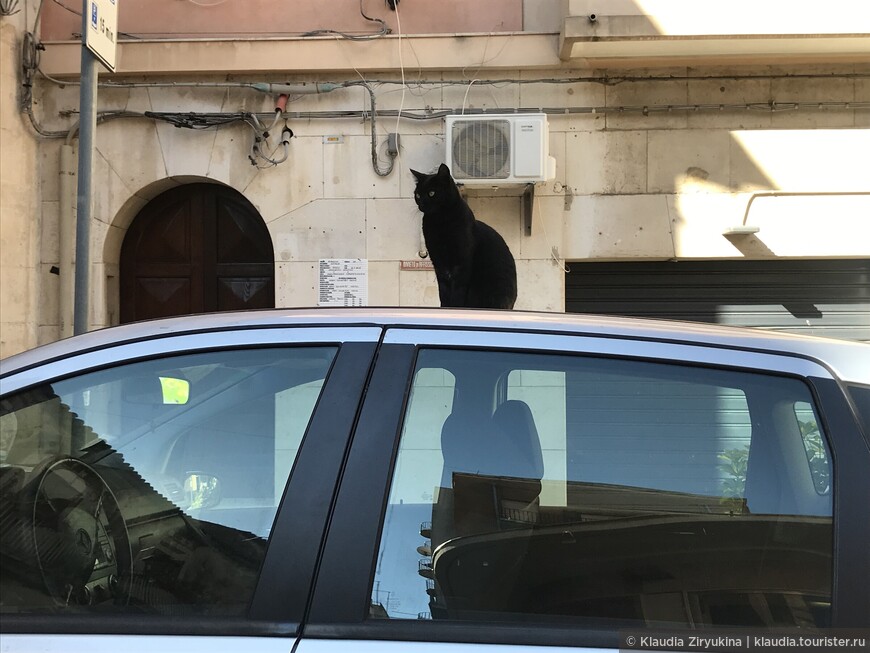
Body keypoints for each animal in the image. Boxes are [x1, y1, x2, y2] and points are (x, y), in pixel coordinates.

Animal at [410, 162, 516, 306]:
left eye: (431, 193)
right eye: (418, 195)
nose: (421, 204)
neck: (440, 222)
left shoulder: (461, 263)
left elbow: (457, 292)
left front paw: (454, 307)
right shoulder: (439, 264)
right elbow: (443, 292)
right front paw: (444, 308)